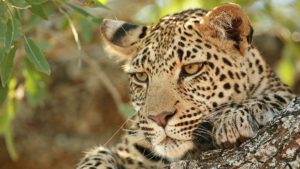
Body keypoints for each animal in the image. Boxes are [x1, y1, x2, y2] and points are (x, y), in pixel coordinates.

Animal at [75, 2, 296, 169]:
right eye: (141, 76)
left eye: (191, 69)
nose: (159, 118)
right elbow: (96, 156)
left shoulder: (283, 93)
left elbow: (275, 97)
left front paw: (232, 119)